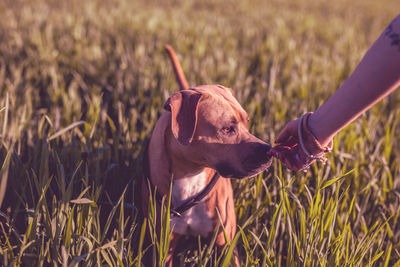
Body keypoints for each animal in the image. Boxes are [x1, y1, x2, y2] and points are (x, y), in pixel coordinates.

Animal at [138, 45, 272, 266]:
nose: (269, 152)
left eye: (247, 121)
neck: (191, 175)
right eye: (227, 129)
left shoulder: (225, 243)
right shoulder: (164, 247)